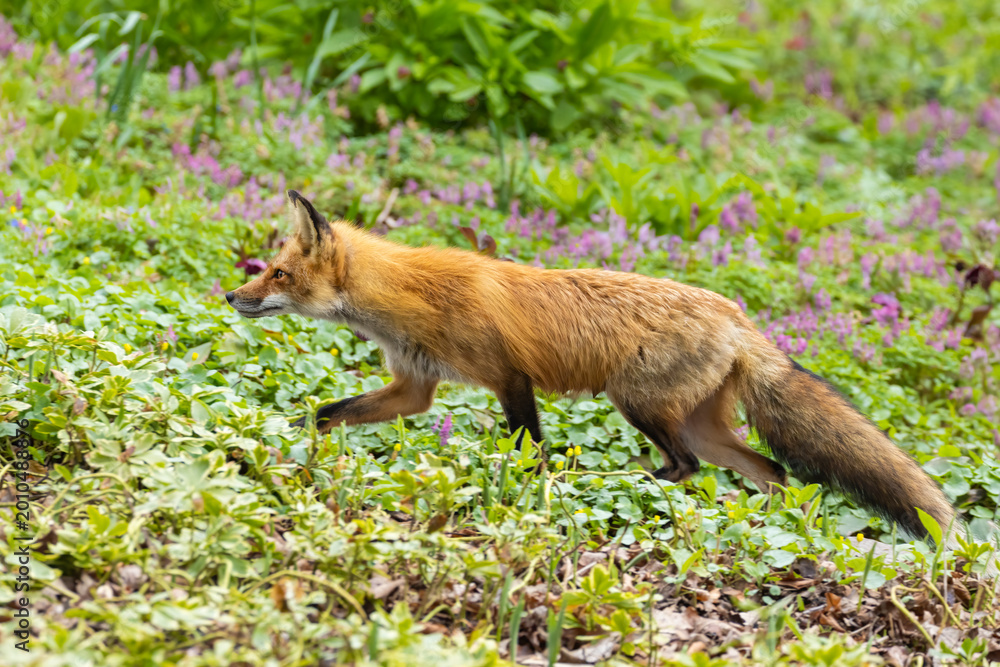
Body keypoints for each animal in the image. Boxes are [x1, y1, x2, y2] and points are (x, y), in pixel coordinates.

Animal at [226, 190, 991, 560]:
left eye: (278, 273)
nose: (232, 296)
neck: (410, 296)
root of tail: (736, 312)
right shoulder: (415, 388)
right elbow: (326, 412)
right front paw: (295, 446)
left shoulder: (510, 379)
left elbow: (528, 448)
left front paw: (532, 491)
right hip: (703, 427)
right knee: (774, 473)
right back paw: (769, 526)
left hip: (638, 405)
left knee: (683, 468)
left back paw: (618, 480)